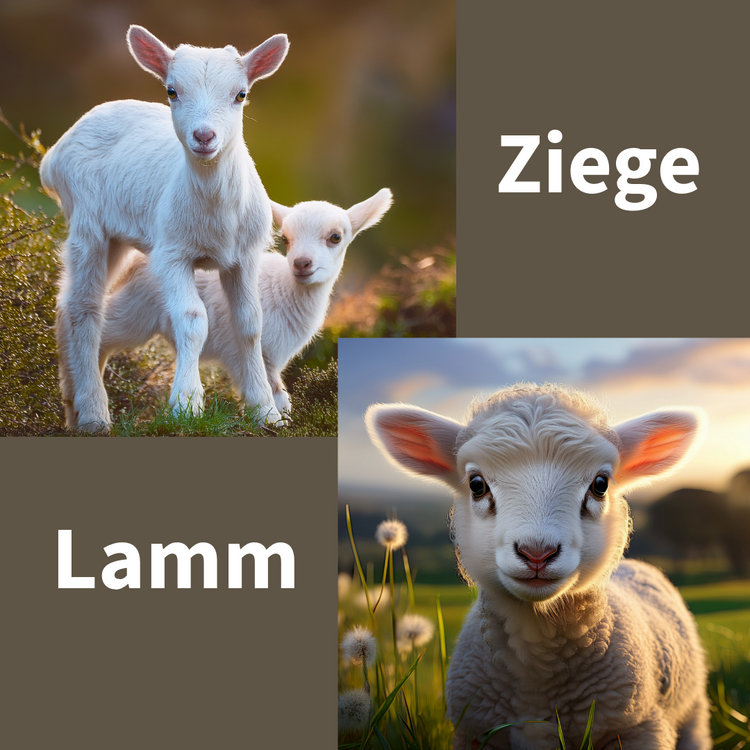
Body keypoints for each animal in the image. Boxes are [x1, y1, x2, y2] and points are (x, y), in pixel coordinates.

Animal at [40, 25, 288, 429]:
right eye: (172, 90)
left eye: (241, 94)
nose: (204, 136)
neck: (214, 215)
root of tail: (52, 156)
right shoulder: (172, 253)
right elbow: (192, 319)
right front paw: (186, 403)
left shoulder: (245, 256)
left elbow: (250, 324)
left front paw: (265, 411)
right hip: (87, 222)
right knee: (84, 307)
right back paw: (94, 413)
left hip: (118, 239)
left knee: (65, 305)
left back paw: (72, 410)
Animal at [99, 189, 393, 414]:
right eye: (286, 239)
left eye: (336, 237)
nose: (301, 263)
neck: (285, 289)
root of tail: (137, 259)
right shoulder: (244, 354)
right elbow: (270, 391)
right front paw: (270, 419)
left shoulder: (273, 358)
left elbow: (280, 393)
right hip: (135, 312)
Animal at [366, 383, 710, 750]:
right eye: (476, 484)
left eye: (600, 484)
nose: (537, 554)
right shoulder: (473, 730)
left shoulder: (638, 729)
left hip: (692, 710)